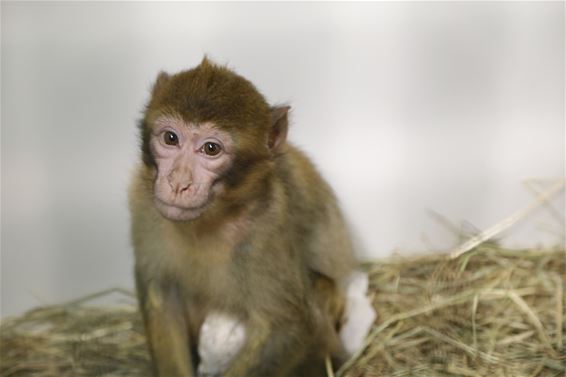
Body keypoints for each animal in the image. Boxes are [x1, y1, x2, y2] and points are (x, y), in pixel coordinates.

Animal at [130, 56, 358, 376]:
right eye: (170, 138)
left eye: (210, 148)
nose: (177, 183)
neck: (209, 218)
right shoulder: (144, 206)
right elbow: (161, 291)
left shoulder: (267, 225)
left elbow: (287, 324)